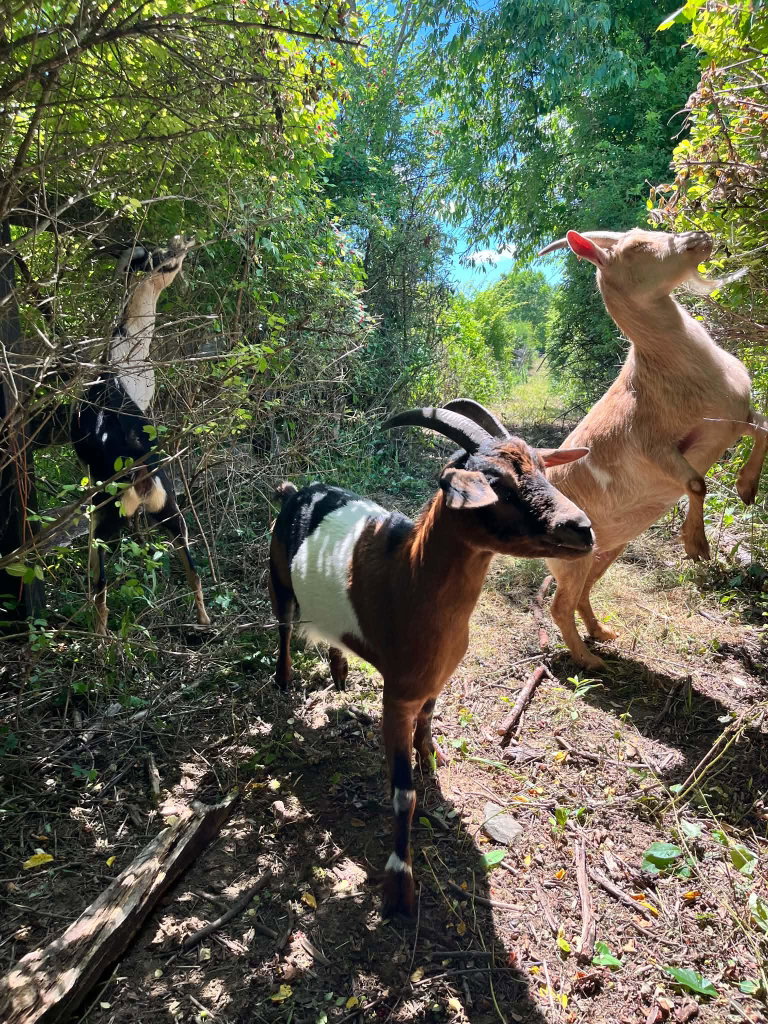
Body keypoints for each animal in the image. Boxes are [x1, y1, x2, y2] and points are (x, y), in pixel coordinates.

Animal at [71, 236, 211, 635]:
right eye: (161, 257)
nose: (183, 243)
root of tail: (142, 477)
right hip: (172, 513)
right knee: (192, 567)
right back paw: (204, 621)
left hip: (108, 521)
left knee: (100, 582)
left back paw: (101, 639)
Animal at [268, 402, 594, 915]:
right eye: (498, 485)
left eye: (543, 468)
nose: (582, 528)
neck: (410, 575)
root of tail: (294, 491)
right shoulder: (397, 696)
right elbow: (404, 794)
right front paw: (399, 882)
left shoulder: (438, 678)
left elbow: (430, 719)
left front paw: (430, 757)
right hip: (278, 577)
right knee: (282, 626)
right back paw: (282, 682)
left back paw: (339, 673)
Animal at [535, 227, 768, 669]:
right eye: (638, 247)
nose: (700, 235)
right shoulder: (653, 445)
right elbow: (696, 484)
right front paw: (696, 545)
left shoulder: (733, 418)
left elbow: (764, 429)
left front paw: (747, 488)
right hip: (571, 556)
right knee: (559, 604)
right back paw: (590, 662)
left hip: (608, 548)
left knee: (582, 593)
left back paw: (603, 634)